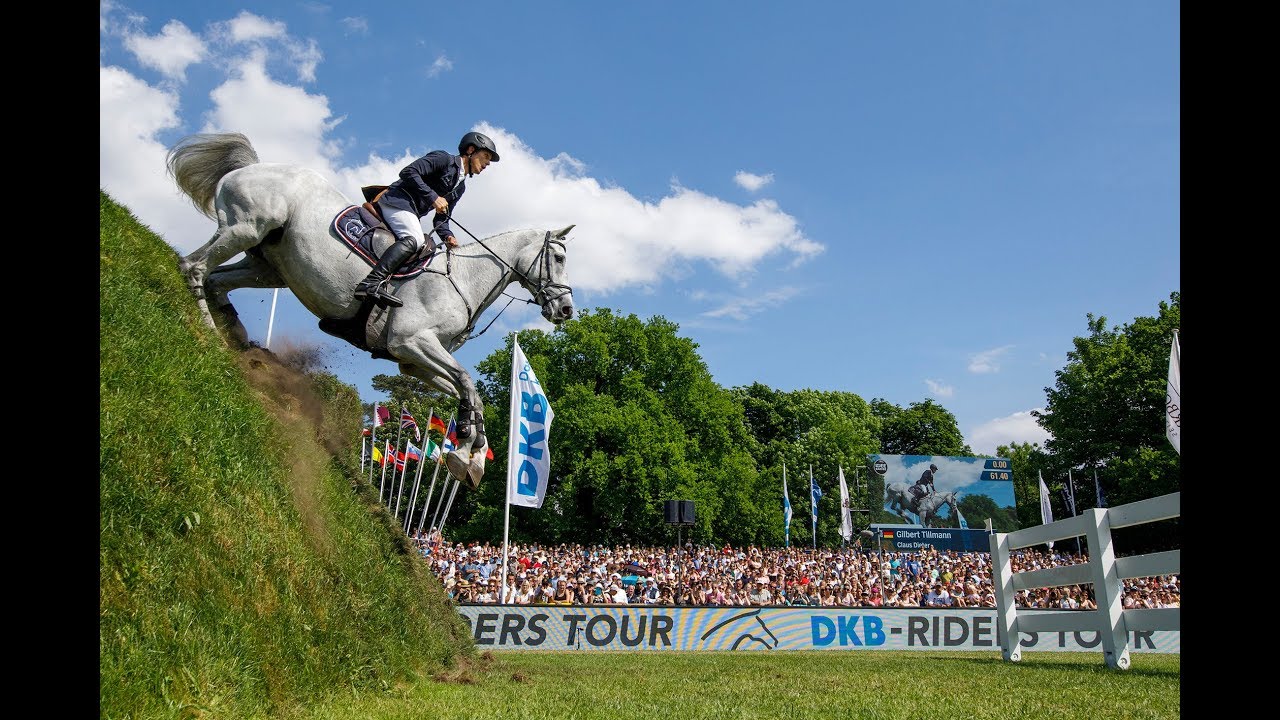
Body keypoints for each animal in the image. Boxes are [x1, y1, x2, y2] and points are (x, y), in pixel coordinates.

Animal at [167, 131, 578, 484]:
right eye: (558, 258)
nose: (566, 310)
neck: (462, 279)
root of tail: (250, 167)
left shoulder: (412, 361)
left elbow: (468, 393)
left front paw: (470, 454)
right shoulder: (410, 342)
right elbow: (466, 382)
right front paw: (467, 448)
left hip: (267, 264)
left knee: (216, 279)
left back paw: (234, 333)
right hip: (246, 228)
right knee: (195, 267)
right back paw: (210, 335)